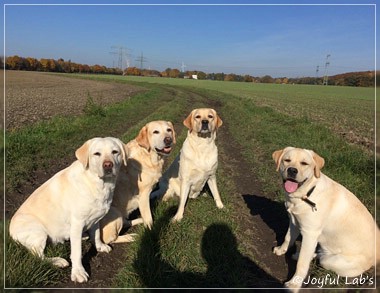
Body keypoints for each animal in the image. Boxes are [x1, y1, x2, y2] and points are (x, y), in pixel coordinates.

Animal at [9, 137, 126, 282]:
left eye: (115, 152)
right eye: (97, 154)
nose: (108, 165)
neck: (96, 183)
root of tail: (9, 231)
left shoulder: (95, 218)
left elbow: (96, 234)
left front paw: (100, 246)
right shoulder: (77, 222)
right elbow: (76, 252)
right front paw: (78, 272)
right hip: (38, 231)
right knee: (38, 256)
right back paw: (58, 261)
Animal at [272, 147, 378, 290]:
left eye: (304, 163)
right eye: (287, 160)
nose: (292, 170)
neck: (306, 194)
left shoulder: (310, 234)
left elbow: (302, 264)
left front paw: (294, 284)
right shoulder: (294, 222)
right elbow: (288, 237)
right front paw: (281, 250)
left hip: (331, 261)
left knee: (320, 257)